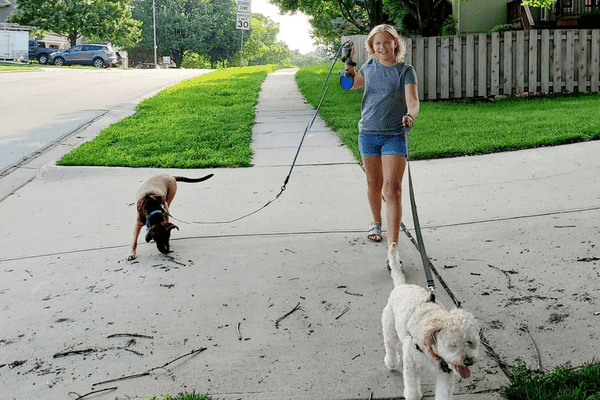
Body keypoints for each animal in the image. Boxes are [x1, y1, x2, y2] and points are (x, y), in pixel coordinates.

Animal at [384, 242, 478, 398]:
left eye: (470, 342)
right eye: (452, 345)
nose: (468, 361)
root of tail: (402, 285)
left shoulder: (445, 373)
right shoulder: (411, 367)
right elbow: (413, 391)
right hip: (389, 327)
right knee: (390, 346)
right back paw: (391, 363)